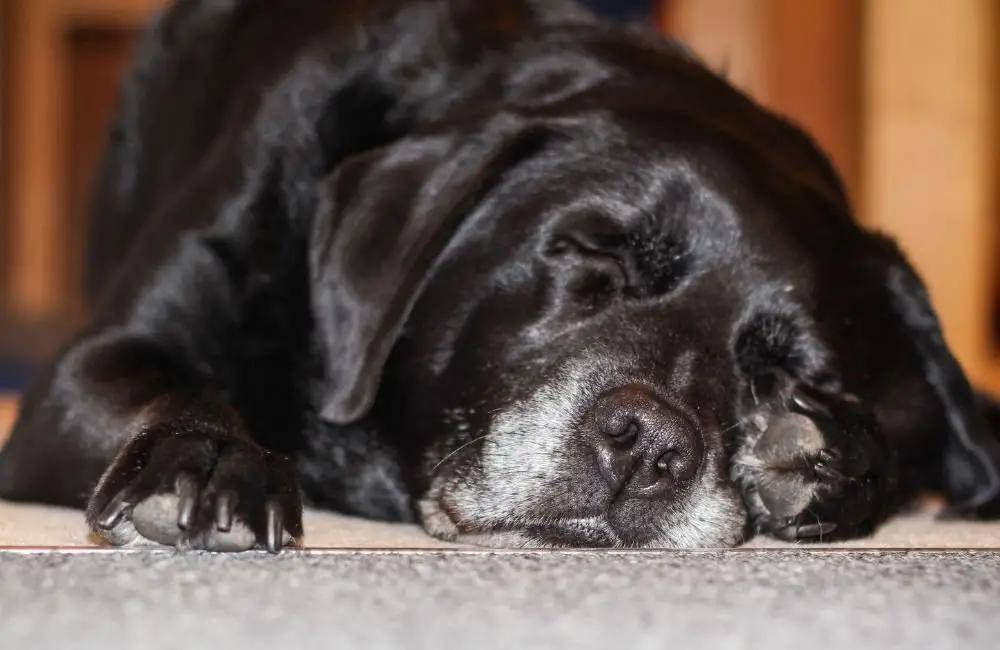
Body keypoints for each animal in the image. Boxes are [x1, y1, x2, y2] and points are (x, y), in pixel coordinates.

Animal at [1, 0, 1000, 552]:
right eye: (592, 255)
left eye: (796, 372)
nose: (648, 446)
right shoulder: (91, 366)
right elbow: (177, 392)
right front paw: (208, 457)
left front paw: (825, 455)